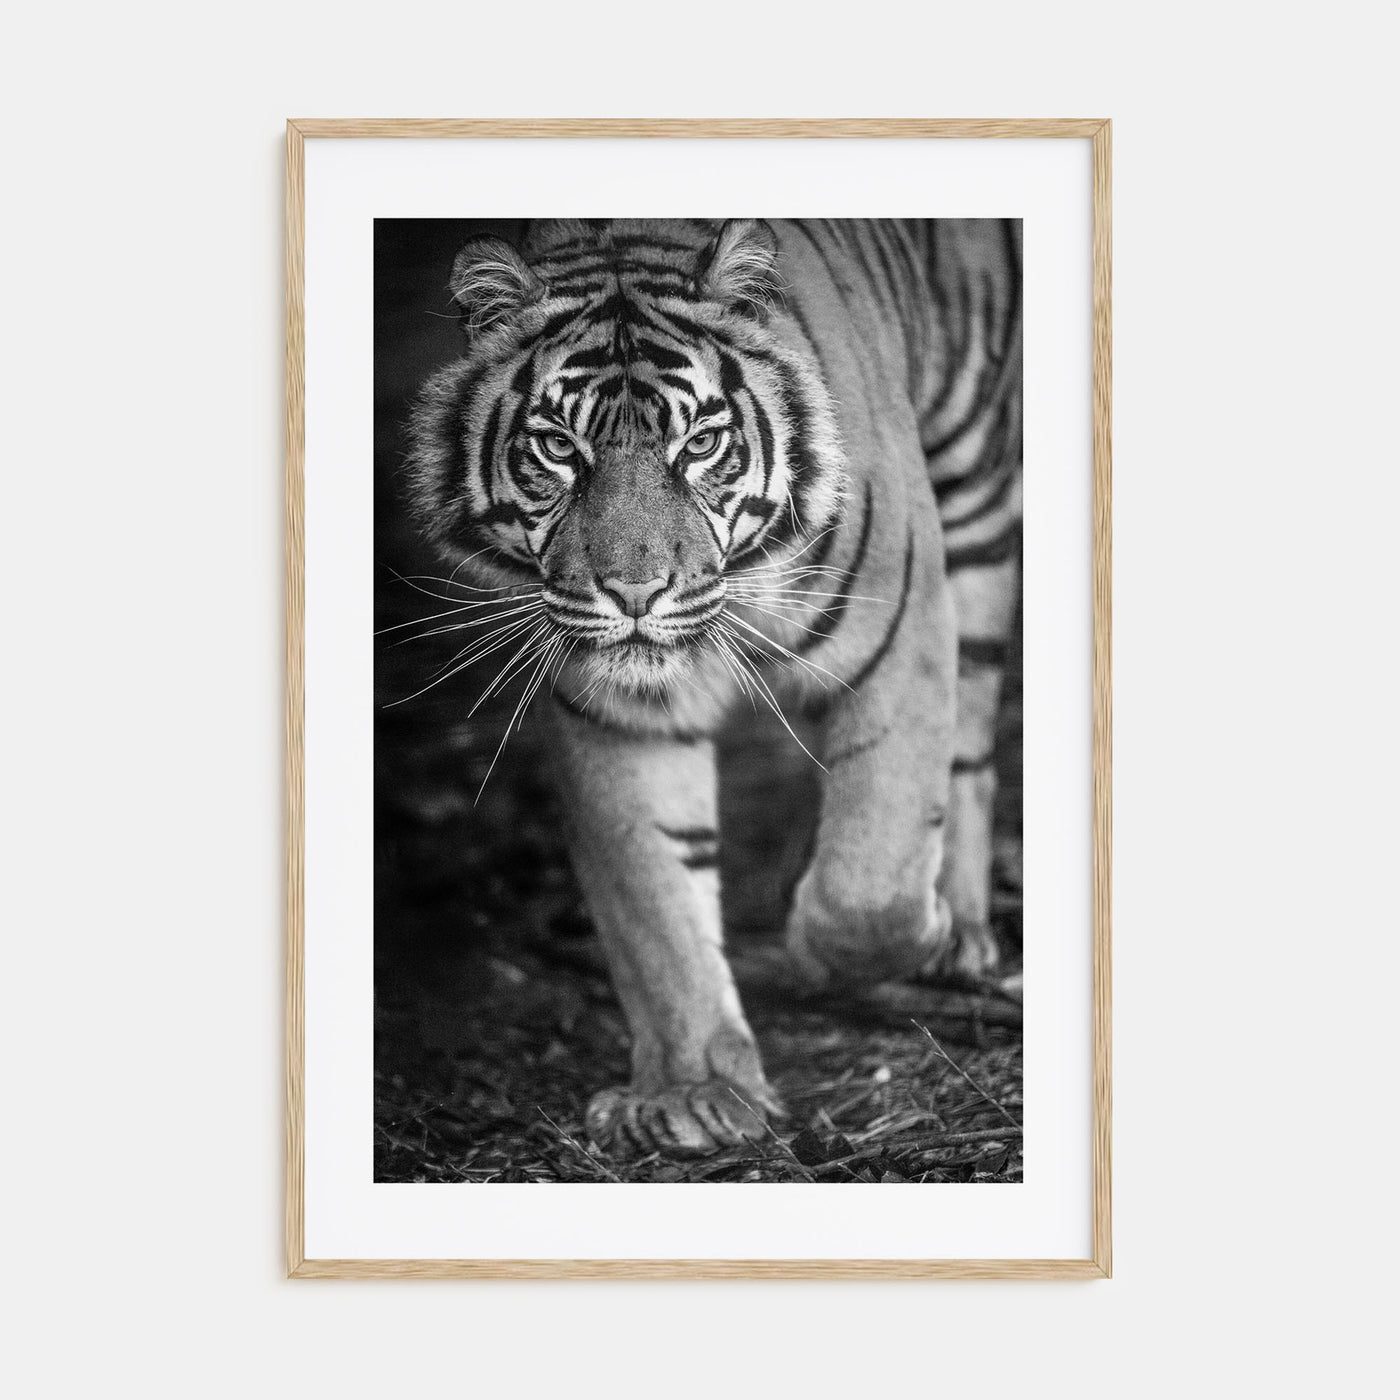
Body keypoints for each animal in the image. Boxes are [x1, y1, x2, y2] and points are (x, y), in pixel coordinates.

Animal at [406, 218, 1021, 1157]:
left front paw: (897, 937)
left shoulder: (902, 622)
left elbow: (868, 884)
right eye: (558, 447)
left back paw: (958, 930)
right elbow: (656, 901)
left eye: (699, 444)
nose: (633, 594)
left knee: (972, 748)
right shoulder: (618, 714)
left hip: (976, 493)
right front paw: (693, 1090)